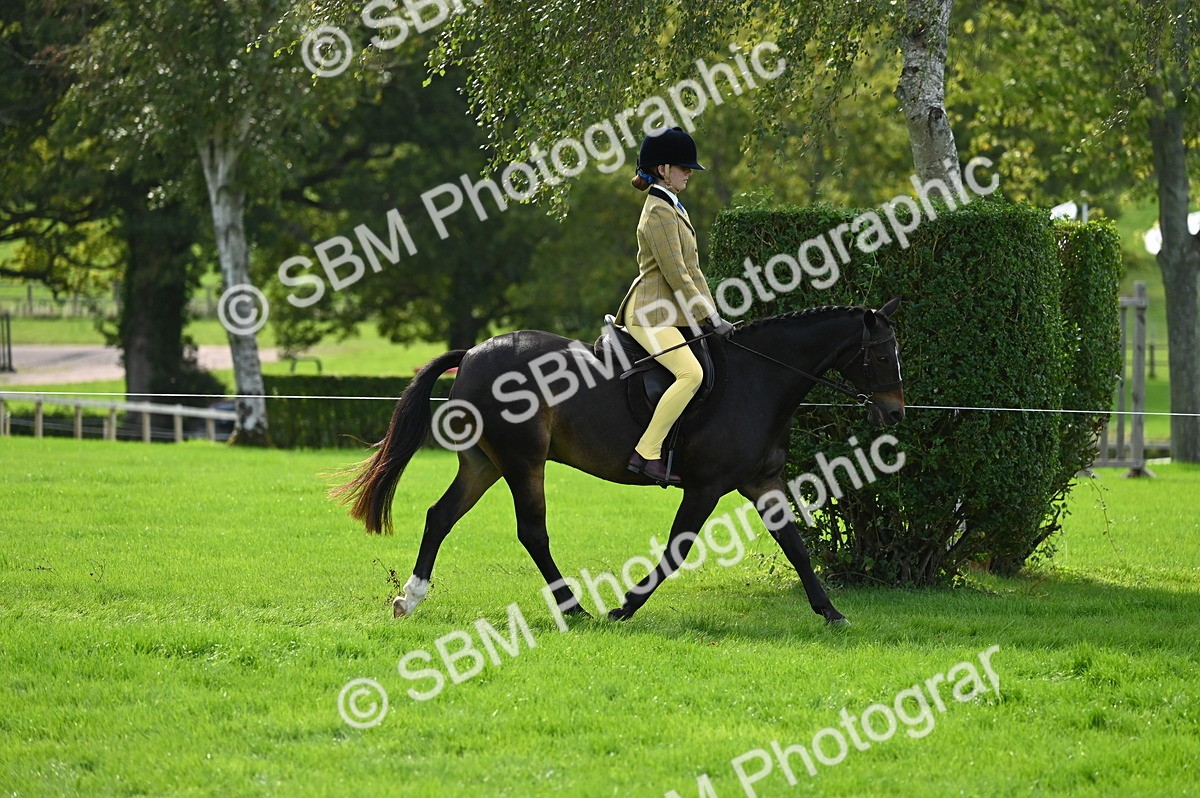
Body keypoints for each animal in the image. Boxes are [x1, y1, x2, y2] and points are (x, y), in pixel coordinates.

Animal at [332, 299, 905, 626]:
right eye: (881, 355)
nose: (895, 412)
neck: (757, 378)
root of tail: (473, 353)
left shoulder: (761, 481)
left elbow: (795, 545)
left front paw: (830, 612)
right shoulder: (706, 486)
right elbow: (676, 550)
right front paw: (624, 606)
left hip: (483, 463)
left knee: (440, 516)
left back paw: (410, 598)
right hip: (522, 462)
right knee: (532, 532)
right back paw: (574, 609)